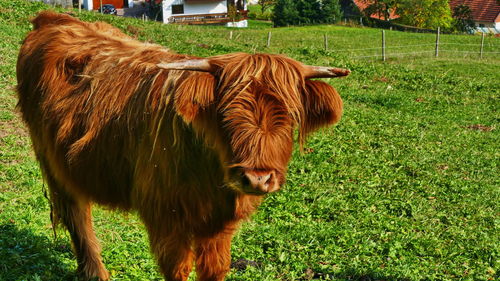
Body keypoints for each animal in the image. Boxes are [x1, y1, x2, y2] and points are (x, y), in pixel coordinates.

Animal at [17, 10, 350, 280]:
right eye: (225, 114)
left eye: (290, 116)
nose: (257, 178)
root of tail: (55, 19)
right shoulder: (165, 216)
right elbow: (177, 268)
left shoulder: (219, 225)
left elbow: (215, 268)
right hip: (52, 161)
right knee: (77, 215)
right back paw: (95, 273)